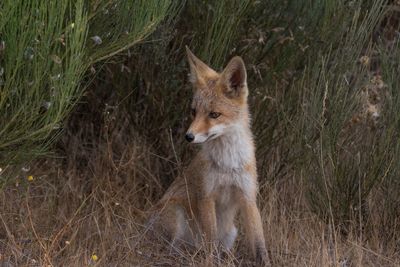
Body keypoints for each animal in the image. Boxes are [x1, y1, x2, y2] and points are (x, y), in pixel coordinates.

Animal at [149, 47, 268, 266]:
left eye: (214, 114)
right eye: (194, 111)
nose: (188, 136)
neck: (228, 164)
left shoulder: (248, 197)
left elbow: (259, 244)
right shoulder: (207, 196)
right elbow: (210, 240)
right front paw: (209, 262)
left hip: (231, 233)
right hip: (175, 215)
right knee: (173, 249)